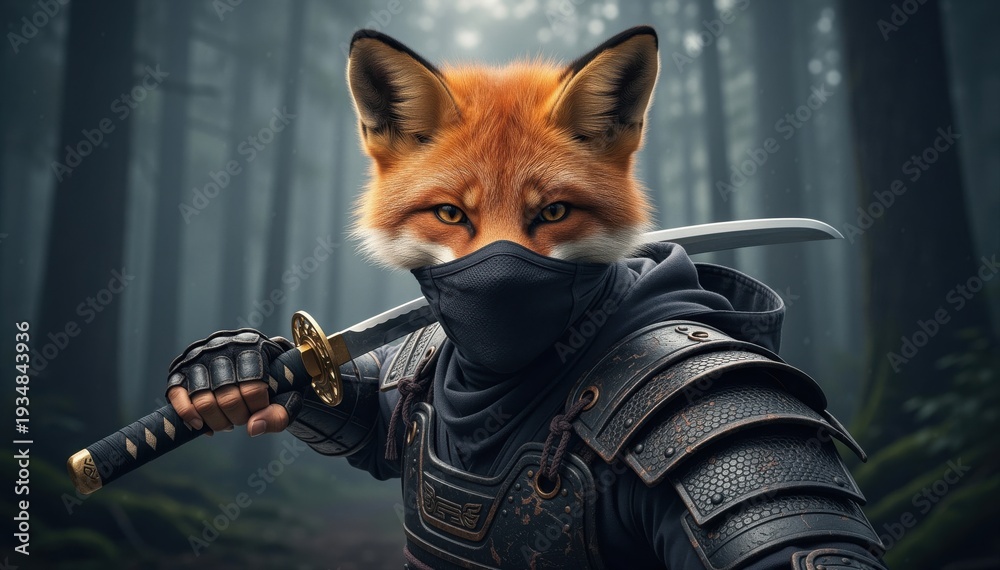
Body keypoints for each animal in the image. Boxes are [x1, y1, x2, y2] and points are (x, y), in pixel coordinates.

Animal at [165, 26, 888, 570]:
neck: (495, 385)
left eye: (555, 212)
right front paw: (230, 367)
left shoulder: (710, 407)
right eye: (450, 214)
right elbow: (363, 416)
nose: (498, 281)